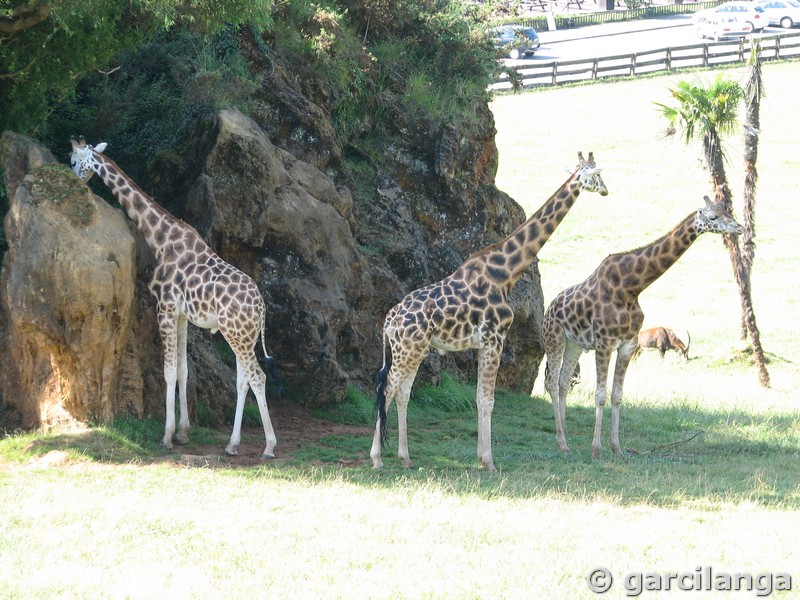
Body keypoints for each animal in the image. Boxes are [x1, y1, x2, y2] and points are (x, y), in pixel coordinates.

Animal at [69, 137, 282, 460]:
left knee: (257, 376)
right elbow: (183, 371)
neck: (160, 239)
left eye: (72, 161)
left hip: (236, 334)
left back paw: (269, 447)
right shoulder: (181, 316)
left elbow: (168, 373)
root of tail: (262, 308)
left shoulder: (165, 309)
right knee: (243, 379)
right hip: (241, 335)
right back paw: (232, 444)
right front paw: (183, 432)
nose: (72, 179)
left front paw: (167, 436)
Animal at [372, 152, 608, 472]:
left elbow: (479, 397)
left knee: (402, 393)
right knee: (387, 390)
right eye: (596, 175)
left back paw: (405, 457)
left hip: (413, 350)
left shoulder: (484, 343)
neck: (506, 272)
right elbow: (487, 400)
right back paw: (376, 459)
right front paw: (489, 461)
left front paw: (481, 458)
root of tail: (388, 321)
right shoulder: (494, 338)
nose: (606, 190)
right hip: (408, 350)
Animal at [544, 195, 744, 458]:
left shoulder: (627, 344)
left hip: (574, 344)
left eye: (729, 211)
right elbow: (600, 395)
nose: (739, 228)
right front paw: (596, 449)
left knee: (563, 381)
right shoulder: (604, 343)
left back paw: (564, 440)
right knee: (551, 382)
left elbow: (617, 395)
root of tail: (550, 307)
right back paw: (560, 440)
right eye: (713, 216)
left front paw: (617, 449)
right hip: (554, 338)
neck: (631, 288)